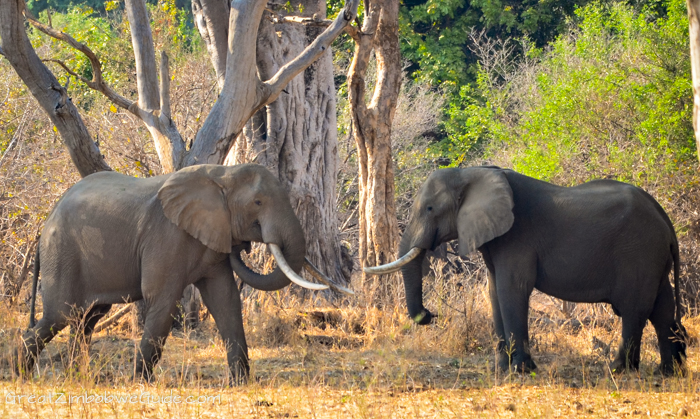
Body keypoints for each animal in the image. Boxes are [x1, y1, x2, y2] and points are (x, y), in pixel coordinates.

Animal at [16, 163, 344, 384]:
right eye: (258, 202)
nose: (243, 245)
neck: (223, 175)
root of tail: (46, 220)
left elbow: (225, 299)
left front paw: (241, 382)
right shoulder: (166, 235)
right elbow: (162, 300)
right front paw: (142, 383)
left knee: (87, 318)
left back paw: (76, 376)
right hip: (62, 252)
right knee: (59, 315)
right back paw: (21, 372)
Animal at [366, 167, 688, 374]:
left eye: (430, 209)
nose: (430, 315)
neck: (471, 173)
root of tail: (666, 219)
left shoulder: (517, 236)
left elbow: (512, 289)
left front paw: (522, 370)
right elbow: (495, 291)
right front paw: (502, 368)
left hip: (640, 252)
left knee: (635, 309)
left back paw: (620, 370)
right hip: (653, 257)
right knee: (662, 308)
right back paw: (668, 371)